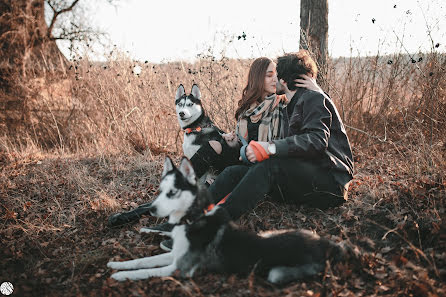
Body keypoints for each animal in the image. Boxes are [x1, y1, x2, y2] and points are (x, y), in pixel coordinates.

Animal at [106, 156, 358, 280]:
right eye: (160, 191)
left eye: (173, 192)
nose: (153, 210)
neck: (191, 222)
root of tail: (331, 246)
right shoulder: (174, 257)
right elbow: (141, 261)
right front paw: (116, 264)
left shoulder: (178, 268)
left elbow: (143, 271)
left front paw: (119, 276)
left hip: (276, 273)